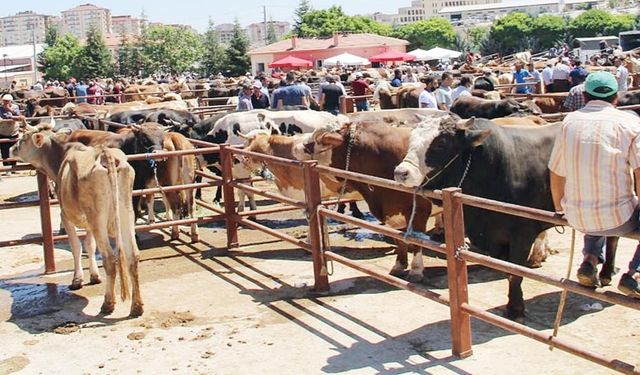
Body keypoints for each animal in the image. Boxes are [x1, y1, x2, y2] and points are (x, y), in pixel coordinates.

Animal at [10, 126, 143, 318]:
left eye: (24, 138)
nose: (11, 149)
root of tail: (105, 154)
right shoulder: (88, 223)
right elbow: (89, 245)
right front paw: (94, 276)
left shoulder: (66, 215)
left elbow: (76, 246)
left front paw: (77, 280)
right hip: (124, 213)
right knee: (133, 255)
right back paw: (137, 306)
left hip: (98, 218)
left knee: (110, 259)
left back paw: (108, 303)